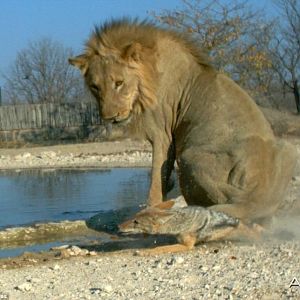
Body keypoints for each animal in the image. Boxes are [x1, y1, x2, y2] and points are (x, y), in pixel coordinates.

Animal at [69, 18, 296, 225]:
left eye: (119, 83)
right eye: (95, 87)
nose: (110, 117)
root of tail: (257, 197)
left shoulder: (162, 133)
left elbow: (156, 177)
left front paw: (151, 207)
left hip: (189, 156)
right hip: (286, 149)